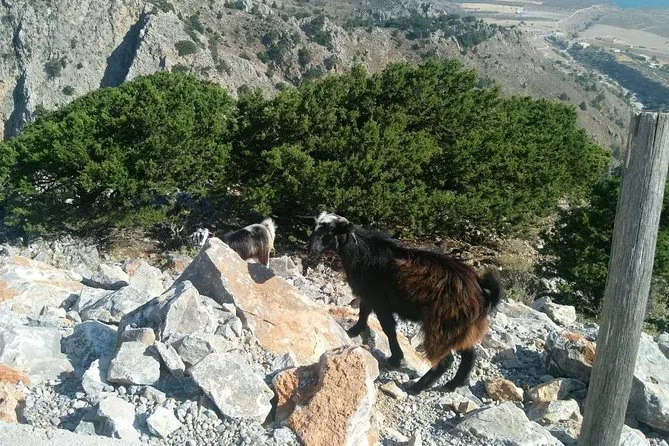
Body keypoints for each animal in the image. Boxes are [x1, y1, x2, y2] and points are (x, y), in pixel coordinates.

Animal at [307, 212, 503, 393]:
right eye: (316, 228)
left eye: (331, 232)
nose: (311, 250)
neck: (363, 252)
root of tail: (481, 290)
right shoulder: (369, 295)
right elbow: (363, 312)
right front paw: (353, 331)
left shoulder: (380, 301)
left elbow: (388, 329)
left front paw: (395, 359)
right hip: (462, 328)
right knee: (469, 353)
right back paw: (454, 384)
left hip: (443, 326)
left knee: (446, 360)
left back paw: (417, 387)